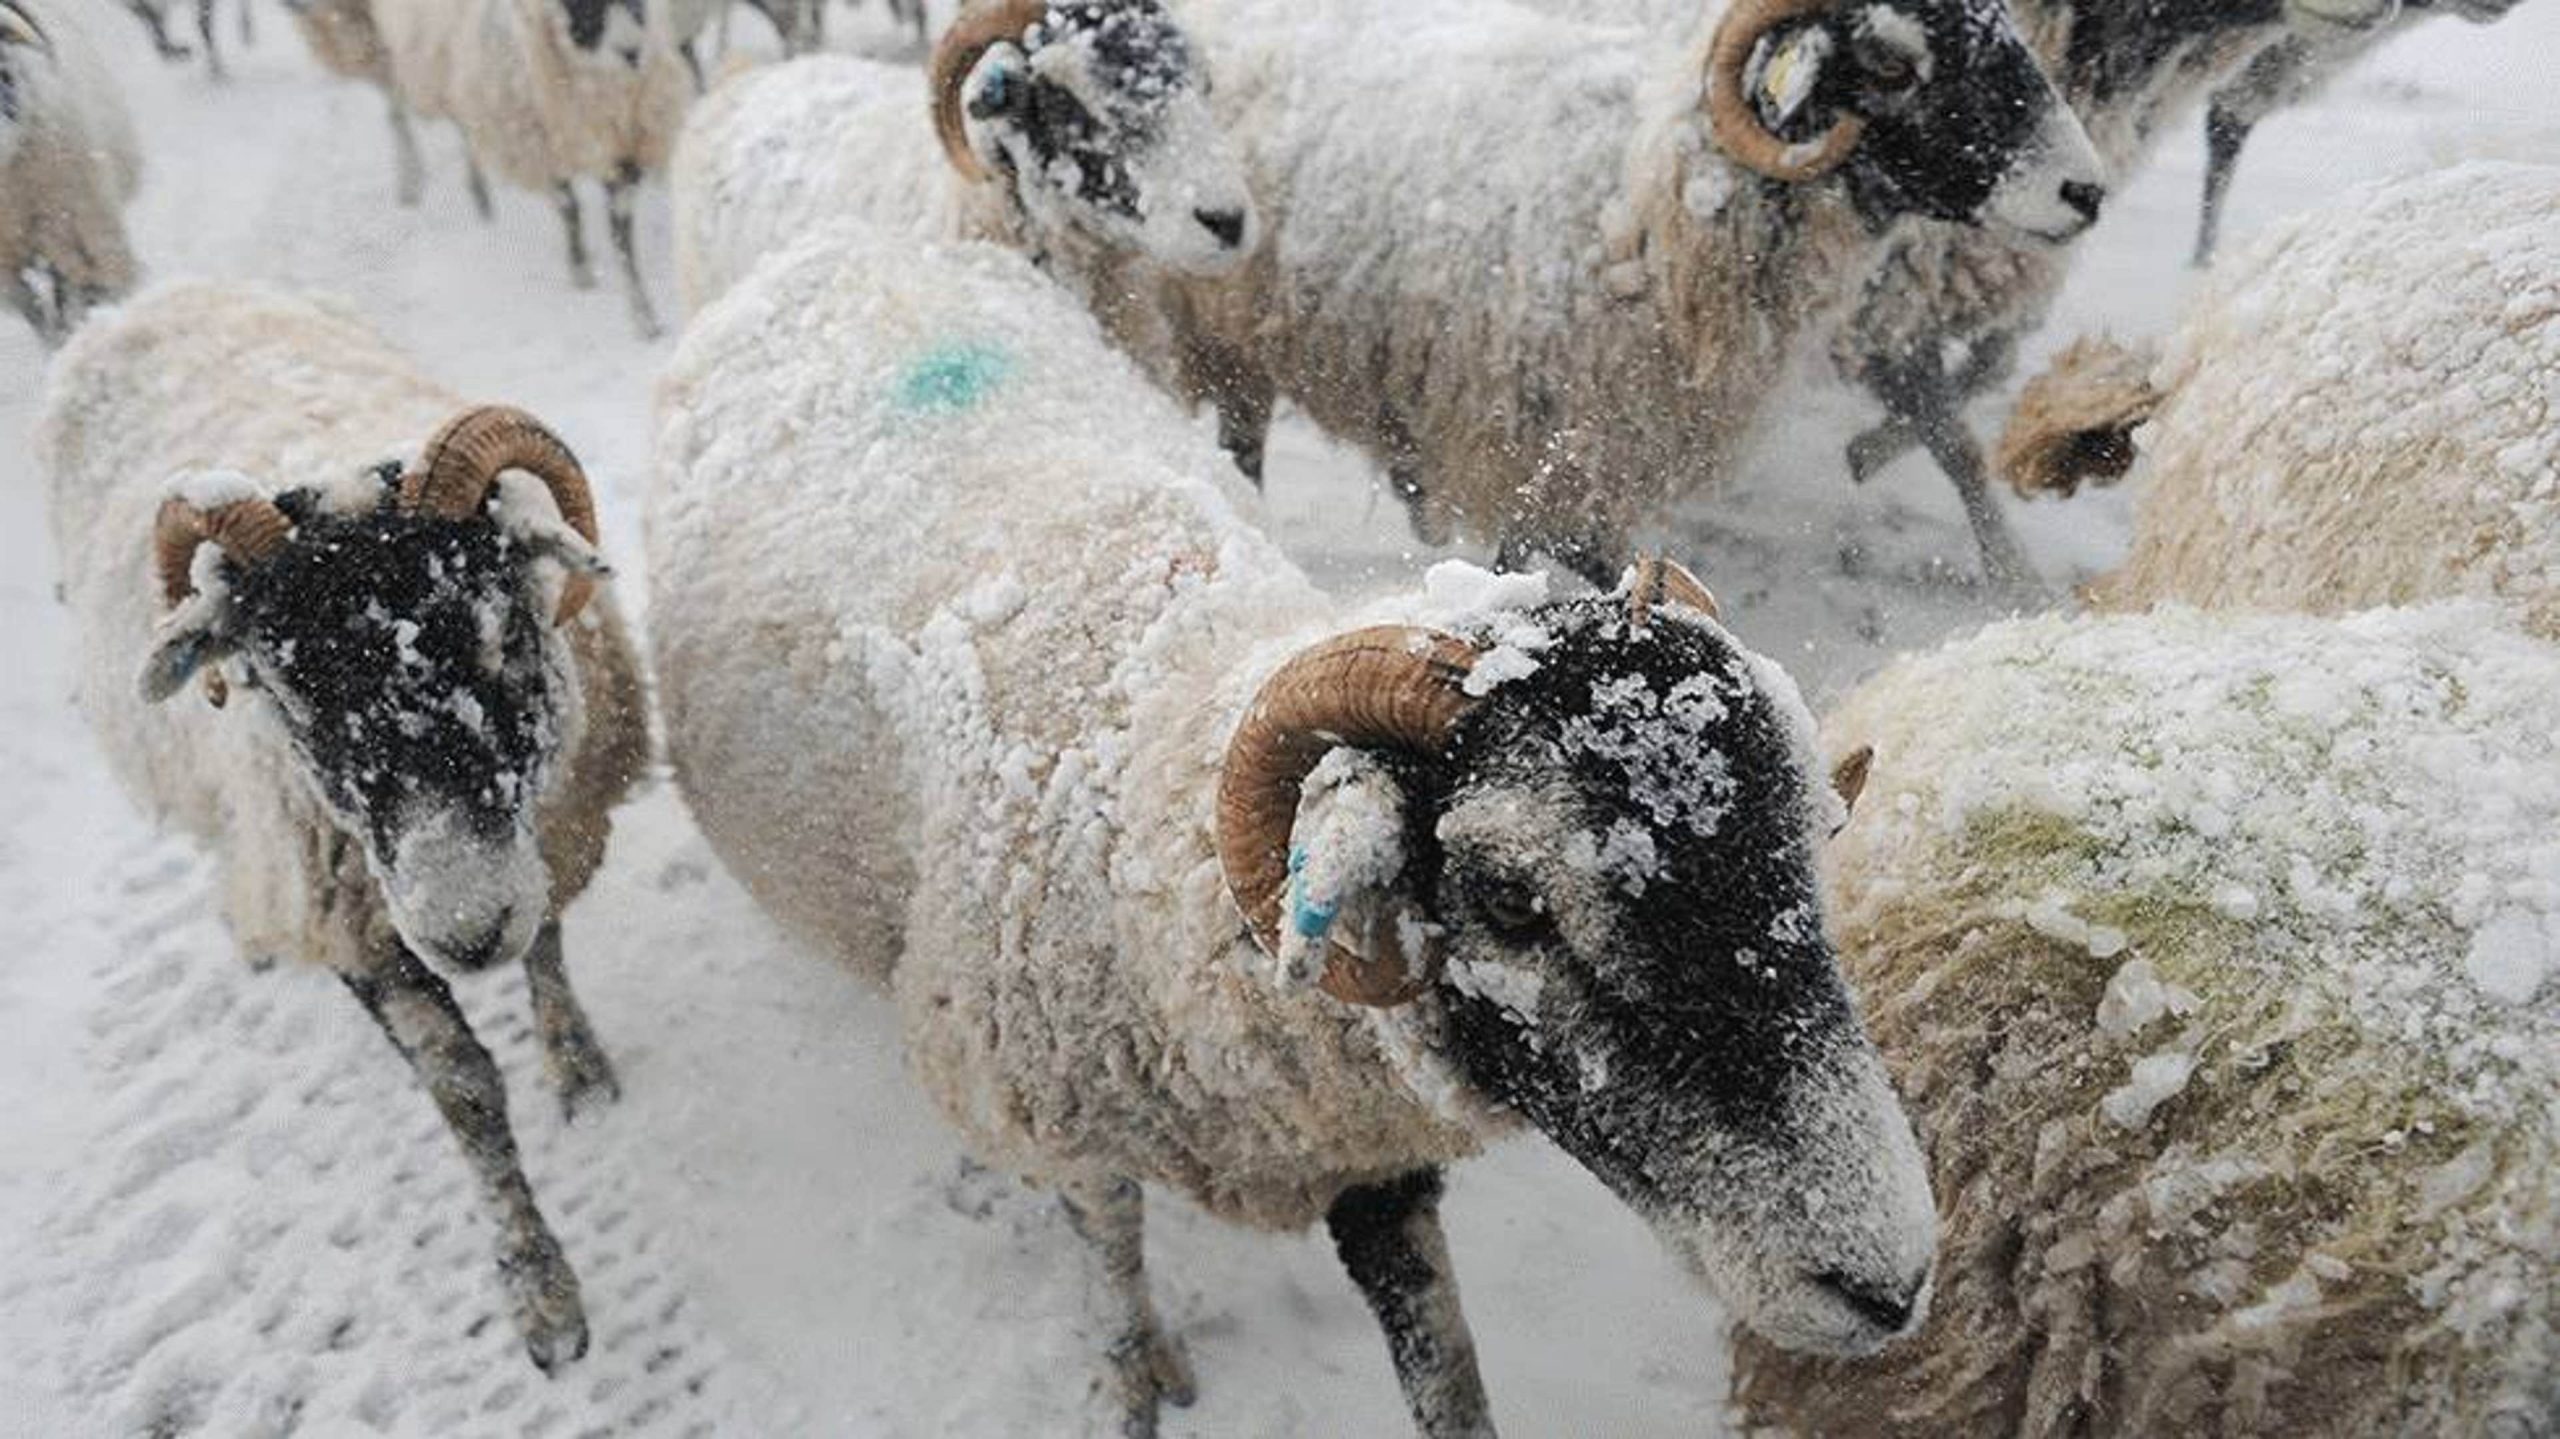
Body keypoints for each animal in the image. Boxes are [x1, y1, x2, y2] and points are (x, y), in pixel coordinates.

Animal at [38, 279, 651, 1374]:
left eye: (502, 630)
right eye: (285, 694)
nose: (465, 930)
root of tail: (144, 296)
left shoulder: (544, 837)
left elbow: (547, 945)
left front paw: (578, 1068)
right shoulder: (357, 924)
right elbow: (464, 1092)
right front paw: (541, 1293)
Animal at [372, 0, 693, 336]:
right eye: (584, 6)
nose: (632, 52)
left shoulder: (626, 150)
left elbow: (621, 238)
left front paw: (645, 317)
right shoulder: (540, 147)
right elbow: (570, 210)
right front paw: (581, 271)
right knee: (429, 119)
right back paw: (450, 192)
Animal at [649, 221, 1937, 1436]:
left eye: (1806, 842)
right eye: (1512, 898)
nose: (1887, 1277)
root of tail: (839, 246)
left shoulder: (1377, 1168)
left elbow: (1447, 1376)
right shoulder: (1067, 1126)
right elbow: (1113, 1274)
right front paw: (1132, 1376)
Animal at [1135, 0, 2106, 584]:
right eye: (1893, 66)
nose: (2085, 190)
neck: (1650, 214)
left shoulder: (1607, 464)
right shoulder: (1535, 453)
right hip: (1212, 329)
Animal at [1822, 0, 2410, 586]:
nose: (2383, 9)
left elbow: (1986, 371)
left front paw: (1869, 449)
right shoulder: (1893, 279)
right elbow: (1954, 435)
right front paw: (2013, 572)